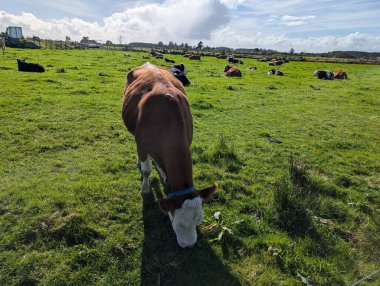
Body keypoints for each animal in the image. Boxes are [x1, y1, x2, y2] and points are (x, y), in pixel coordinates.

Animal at [121, 62, 217, 248]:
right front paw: (145, 188)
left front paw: (165, 176)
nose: (190, 245)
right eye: (179, 224)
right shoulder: (142, 145)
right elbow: (146, 170)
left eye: (199, 221)